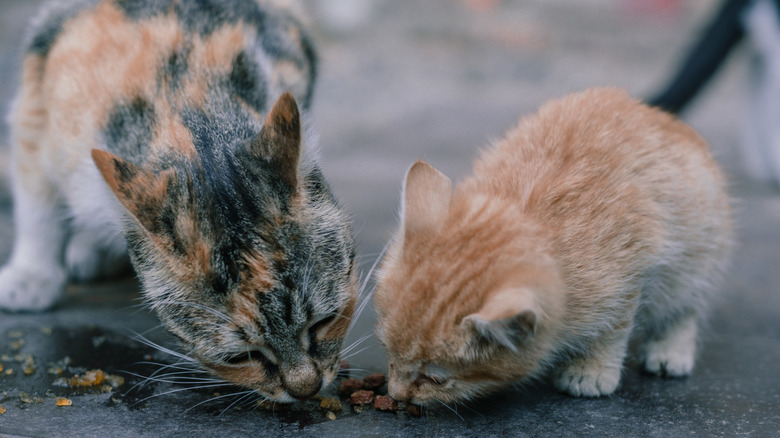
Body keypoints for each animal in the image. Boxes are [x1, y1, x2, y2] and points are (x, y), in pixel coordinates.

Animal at [0, 0, 358, 402]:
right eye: (241, 357)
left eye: (326, 320)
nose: (306, 390)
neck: (185, 96)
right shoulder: (38, 93)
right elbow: (35, 197)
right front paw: (31, 274)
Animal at [374, 88, 736, 404]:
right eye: (387, 352)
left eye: (435, 379)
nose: (396, 394)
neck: (532, 217)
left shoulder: (631, 269)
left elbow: (613, 326)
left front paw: (592, 369)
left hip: (699, 252)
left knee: (684, 305)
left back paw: (670, 350)